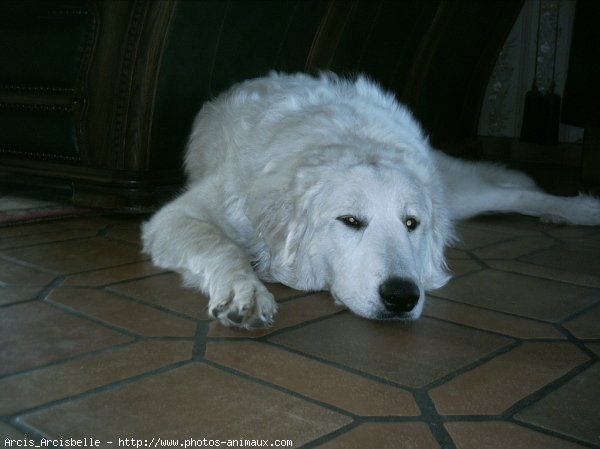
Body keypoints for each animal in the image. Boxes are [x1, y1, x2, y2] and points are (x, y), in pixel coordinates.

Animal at [144, 71, 600, 328]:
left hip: (456, 193)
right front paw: (246, 293)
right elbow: (223, 247)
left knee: (516, 192)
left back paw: (580, 209)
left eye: (411, 224)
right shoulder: (178, 216)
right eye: (350, 221)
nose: (402, 297)